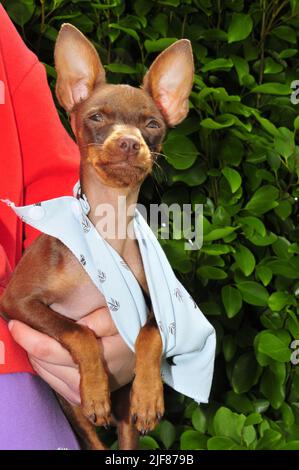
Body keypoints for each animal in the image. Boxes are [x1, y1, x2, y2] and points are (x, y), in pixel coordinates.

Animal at [0, 23, 196, 450]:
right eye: (96, 117)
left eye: (152, 125)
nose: (129, 142)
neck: (107, 230)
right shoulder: (17, 301)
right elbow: (79, 332)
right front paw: (94, 389)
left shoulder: (151, 300)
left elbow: (152, 332)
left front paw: (150, 394)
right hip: (70, 411)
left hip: (124, 421)